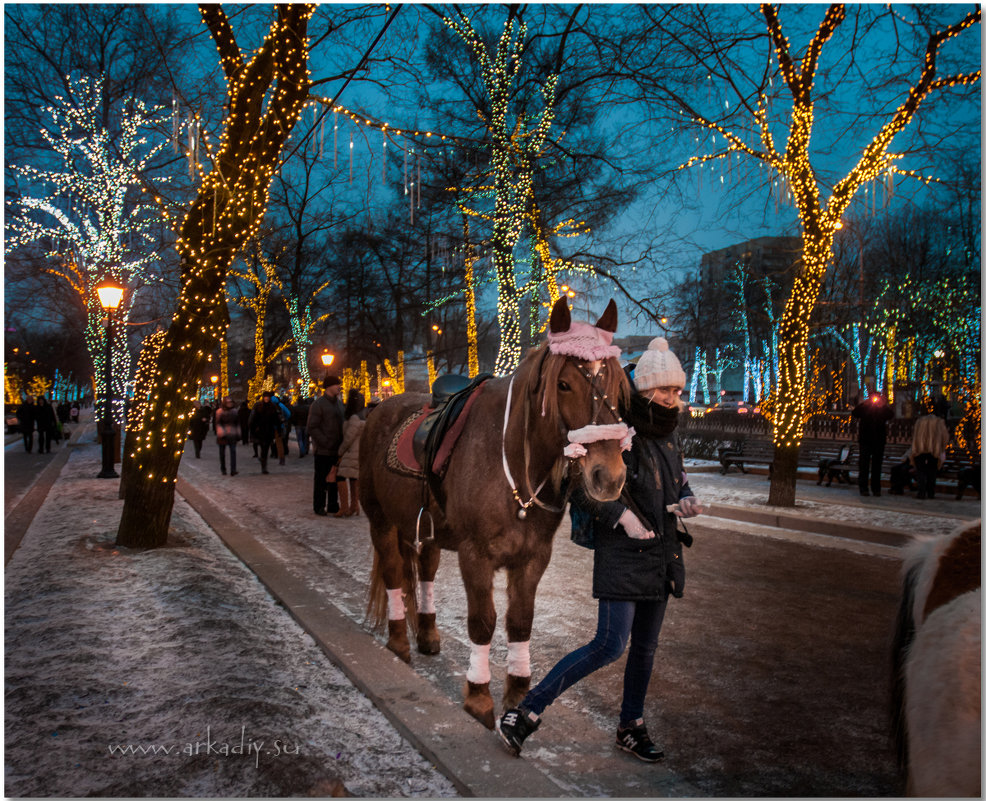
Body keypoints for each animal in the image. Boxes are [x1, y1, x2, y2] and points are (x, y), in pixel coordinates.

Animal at [358, 296, 628, 728]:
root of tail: (382, 408)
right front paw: (478, 695)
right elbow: (483, 623)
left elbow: (520, 622)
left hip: (426, 530)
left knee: (426, 573)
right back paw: (399, 640)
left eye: (618, 384)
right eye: (564, 384)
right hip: (380, 521)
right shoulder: (476, 555)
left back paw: (427, 634)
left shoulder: (533, 558)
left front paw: (517, 693)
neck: (516, 466)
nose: (610, 475)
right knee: (395, 574)